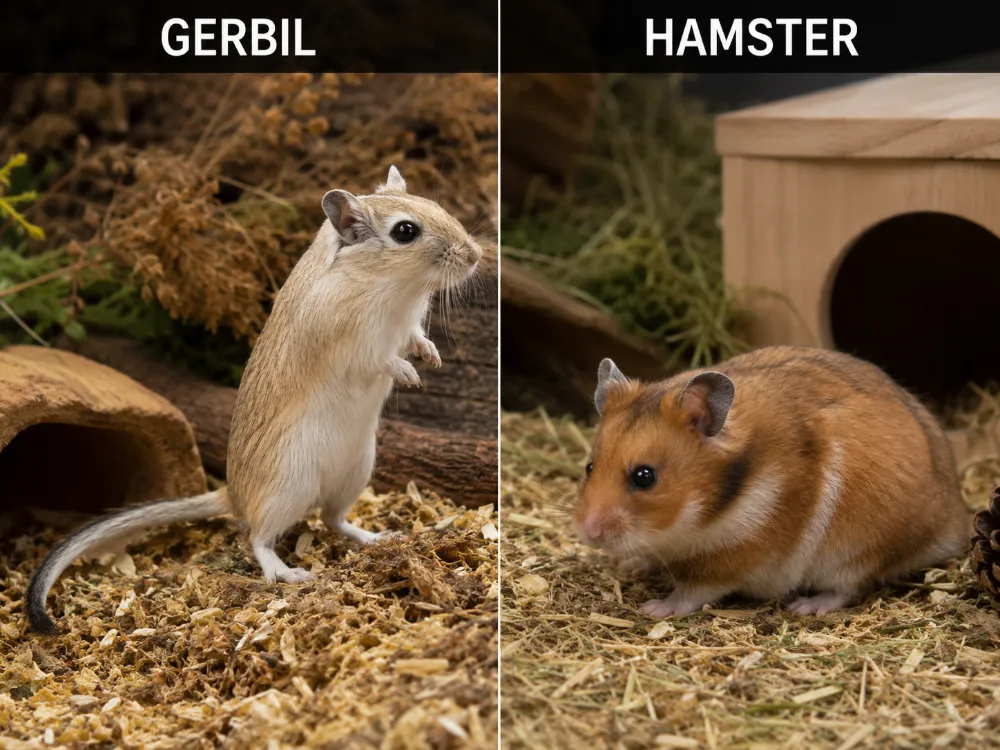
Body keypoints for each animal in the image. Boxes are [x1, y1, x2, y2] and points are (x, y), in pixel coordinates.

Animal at [26, 166, 484, 633]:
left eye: (435, 204)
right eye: (405, 232)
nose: (476, 255)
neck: (387, 284)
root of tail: (231, 495)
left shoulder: (408, 325)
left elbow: (417, 339)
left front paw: (433, 358)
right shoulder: (355, 345)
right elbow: (385, 359)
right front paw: (411, 375)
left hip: (355, 472)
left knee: (333, 519)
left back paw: (379, 536)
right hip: (290, 483)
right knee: (259, 537)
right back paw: (288, 572)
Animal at [574, 345, 971, 618]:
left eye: (644, 477)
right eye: (589, 467)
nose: (588, 533)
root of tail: (954, 519)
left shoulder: (738, 555)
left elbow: (692, 591)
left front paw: (655, 609)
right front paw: (630, 565)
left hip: (857, 550)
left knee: (847, 588)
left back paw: (806, 607)